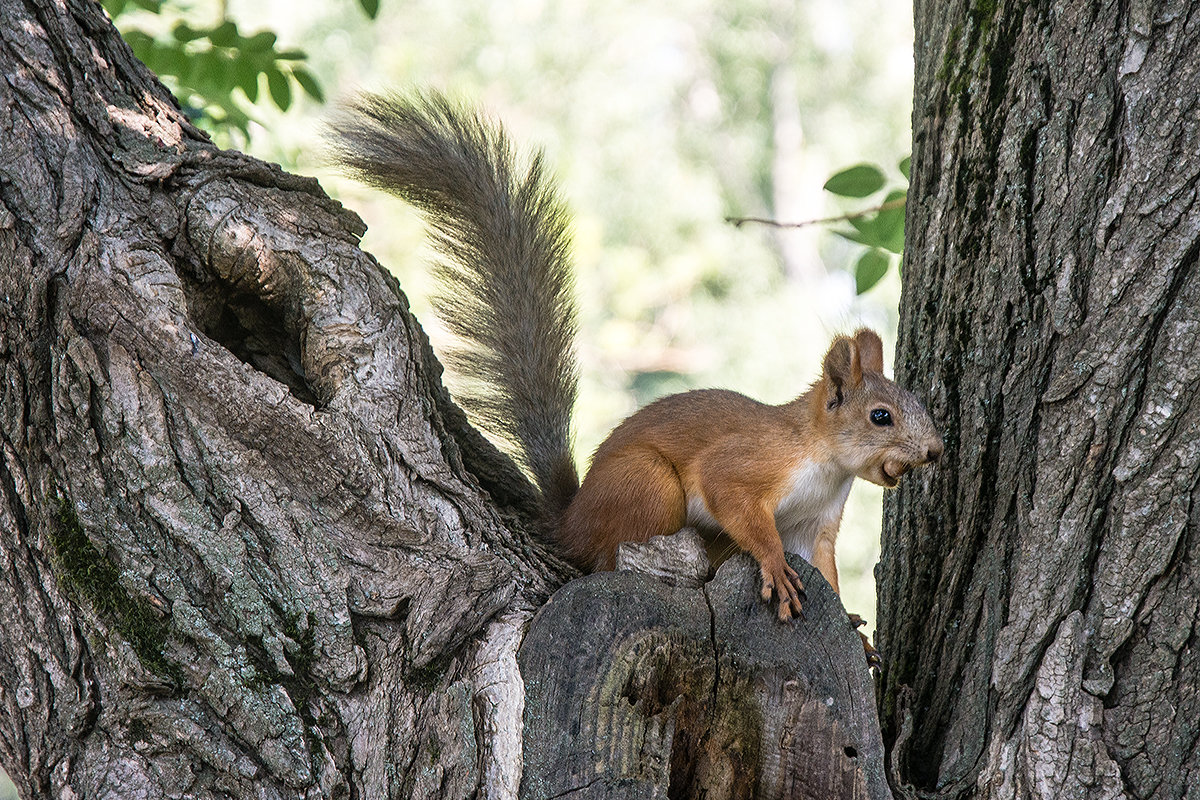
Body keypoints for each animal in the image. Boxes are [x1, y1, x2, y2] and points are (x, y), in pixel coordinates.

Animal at [333, 90, 940, 623]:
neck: (825, 464)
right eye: (880, 416)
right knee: (606, 556)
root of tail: (571, 519)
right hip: (651, 488)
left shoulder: (816, 526)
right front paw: (774, 567)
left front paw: (856, 632)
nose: (934, 451)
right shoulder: (748, 465)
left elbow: (828, 574)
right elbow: (739, 506)